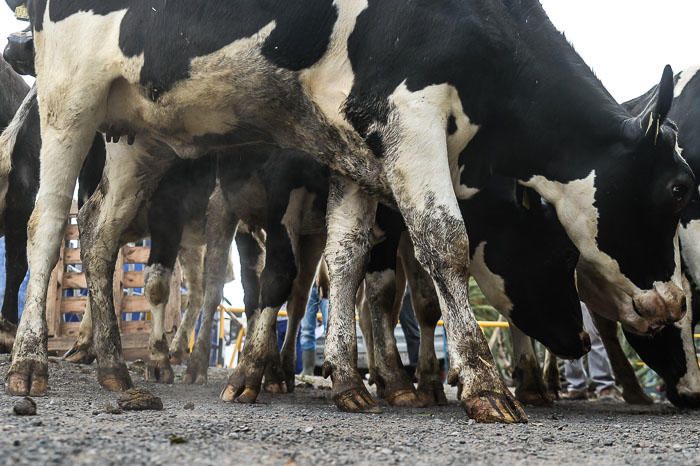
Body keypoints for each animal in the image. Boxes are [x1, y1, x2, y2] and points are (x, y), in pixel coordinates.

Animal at [13, 0, 692, 422]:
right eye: (680, 188)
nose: (675, 301)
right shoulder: (408, 113)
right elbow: (443, 240)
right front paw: (484, 386)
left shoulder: (354, 148)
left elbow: (345, 262)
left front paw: (347, 380)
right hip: (71, 94)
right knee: (46, 226)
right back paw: (28, 367)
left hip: (137, 133)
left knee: (98, 232)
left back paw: (115, 372)